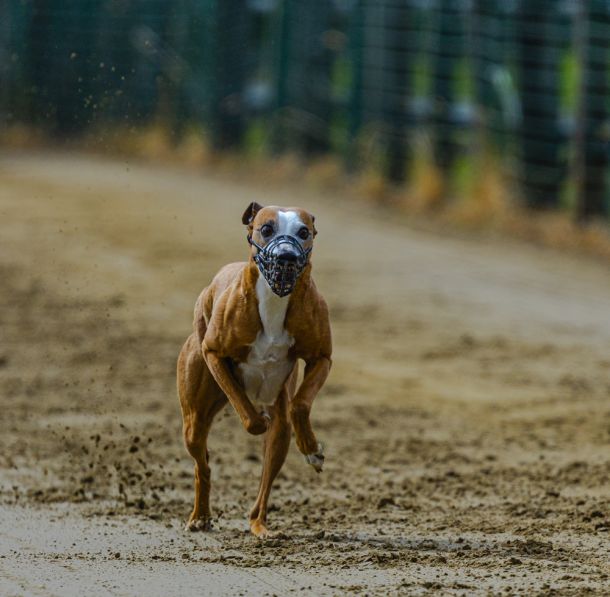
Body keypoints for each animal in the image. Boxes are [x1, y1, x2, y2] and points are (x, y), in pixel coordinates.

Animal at [177, 202, 332, 537]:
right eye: (266, 229)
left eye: (304, 231)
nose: (286, 257)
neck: (274, 299)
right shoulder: (213, 353)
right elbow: (248, 416)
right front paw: (257, 419)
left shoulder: (321, 358)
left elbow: (299, 405)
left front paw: (311, 449)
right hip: (194, 420)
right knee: (202, 463)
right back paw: (200, 515)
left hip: (279, 434)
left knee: (266, 476)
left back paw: (260, 526)